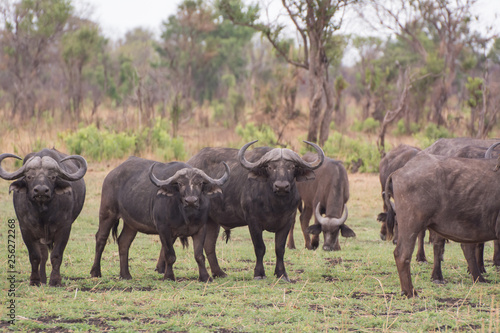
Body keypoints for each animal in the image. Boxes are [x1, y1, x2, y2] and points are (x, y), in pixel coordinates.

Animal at [0, 148, 87, 286]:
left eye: (52, 177)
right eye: (29, 176)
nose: (41, 191)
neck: (43, 213)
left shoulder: (64, 228)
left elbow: (56, 255)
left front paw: (55, 280)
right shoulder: (26, 230)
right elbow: (35, 256)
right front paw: (35, 280)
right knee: (43, 255)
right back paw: (42, 278)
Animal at [90, 157, 229, 282]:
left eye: (200, 183)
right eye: (180, 184)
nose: (191, 201)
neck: (186, 214)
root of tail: (111, 175)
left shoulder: (200, 229)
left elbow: (199, 255)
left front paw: (205, 277)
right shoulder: (163, 229)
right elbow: (170, 255)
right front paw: (169, 276)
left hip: (130, 224)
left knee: (123, 242)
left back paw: (125, 275)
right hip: (107, 213)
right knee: (101, 238)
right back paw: (95, 272)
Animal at [188, 139, 324, 282]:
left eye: (292, 167)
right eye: (270, 167)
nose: (281, 186)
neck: (276, 204)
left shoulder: (288, 221)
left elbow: (280, 248)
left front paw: (282, 274)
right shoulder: (253, 222)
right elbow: (260, 247)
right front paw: (259, 273)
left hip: (212, 221)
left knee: (209, 245)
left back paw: (219, 273)